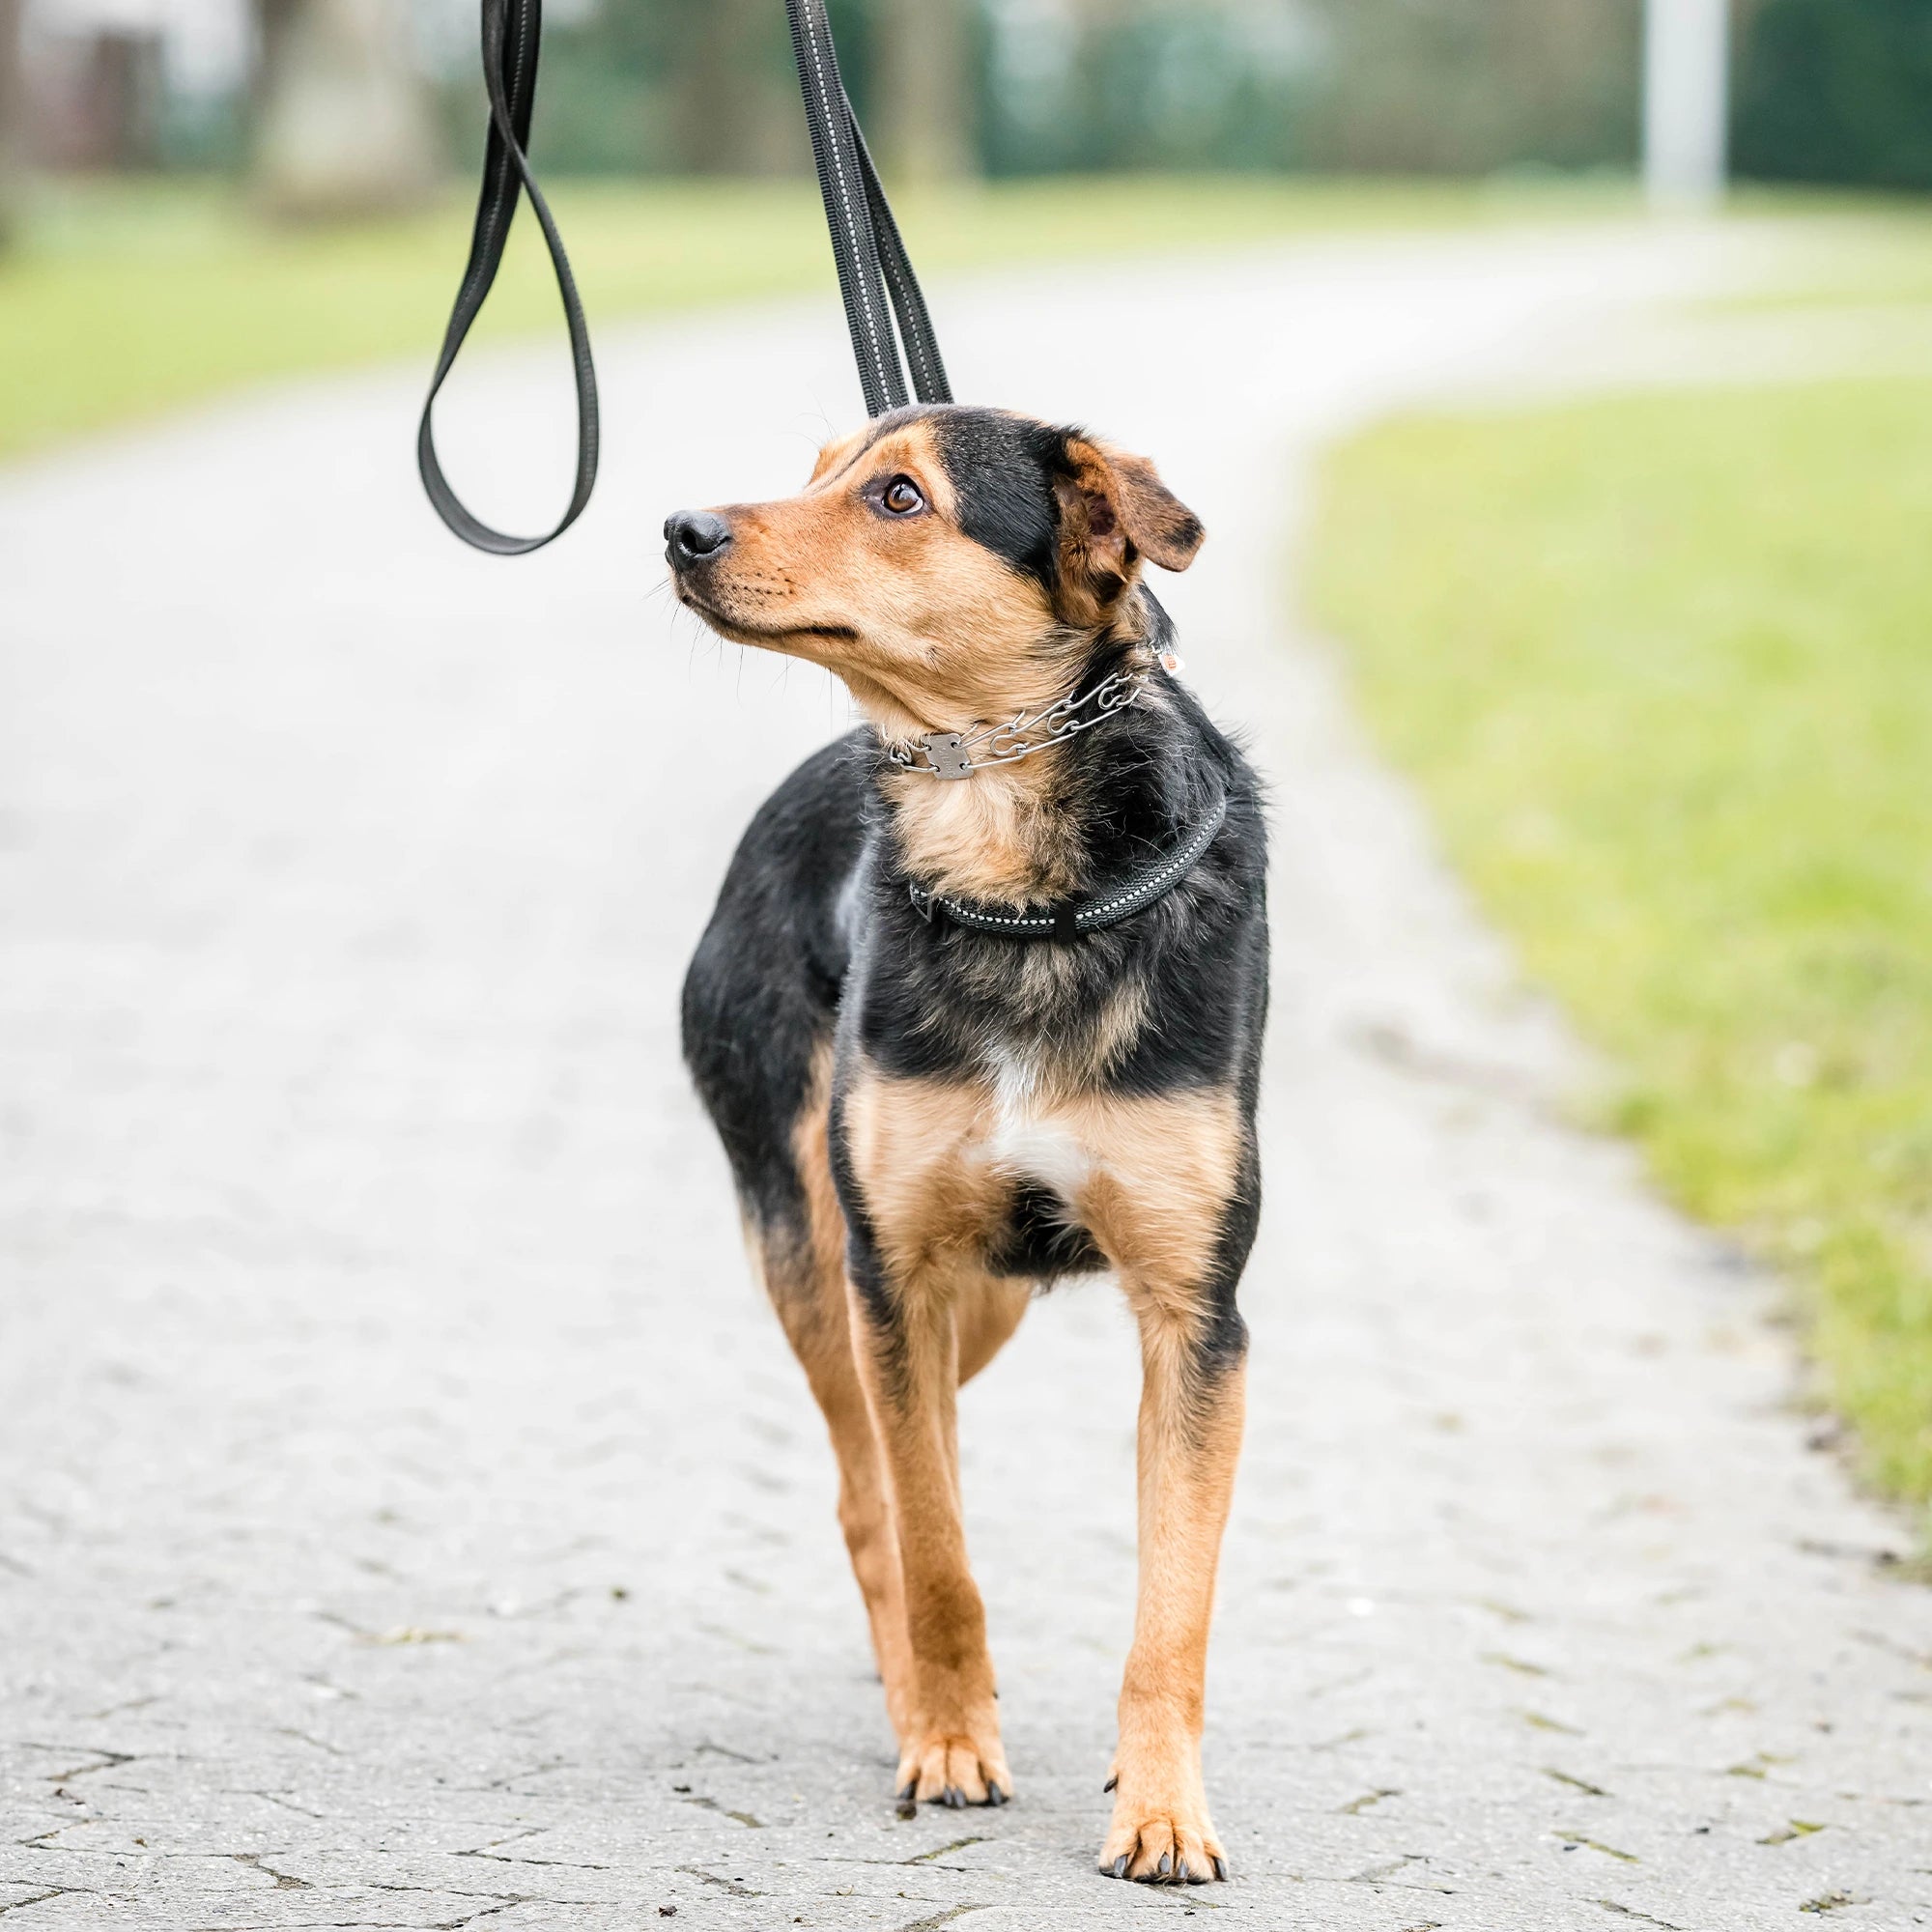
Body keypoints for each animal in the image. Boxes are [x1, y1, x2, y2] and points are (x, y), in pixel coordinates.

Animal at [665, 404, 1267, 1886]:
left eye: (898, 496)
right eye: (819, 468)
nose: (681, 529)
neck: (1009, 868)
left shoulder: (1196, 1314)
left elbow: (1173, 1606)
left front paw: (1160, 1809)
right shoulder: (897, 1276)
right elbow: (935, 1546)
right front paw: (947, 1740)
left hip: (983, 1297)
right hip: (820, 1254)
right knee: (869, 1497)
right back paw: (915, 1706)